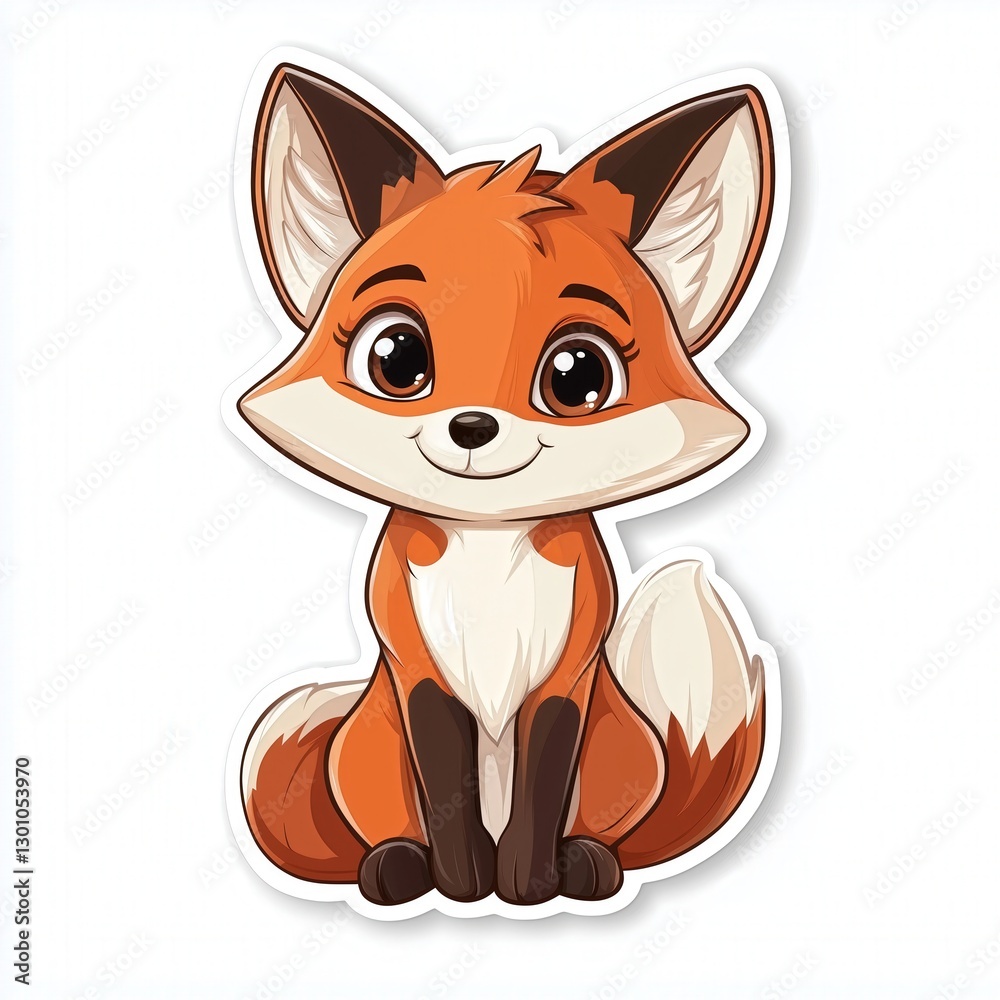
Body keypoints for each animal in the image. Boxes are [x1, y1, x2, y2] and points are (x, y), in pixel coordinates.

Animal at [227, 54, 785, 912]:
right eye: (397, 359)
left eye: (578, 376)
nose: (473, 427)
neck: (487, 552)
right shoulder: (417, 667)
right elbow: (446, 788)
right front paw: (462, 887)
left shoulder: (567, 674)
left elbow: (541, 787)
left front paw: (526, 887)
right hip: (365, 751)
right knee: (391, 830)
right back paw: (395, 868)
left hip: (623, 752)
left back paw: (588, 863)